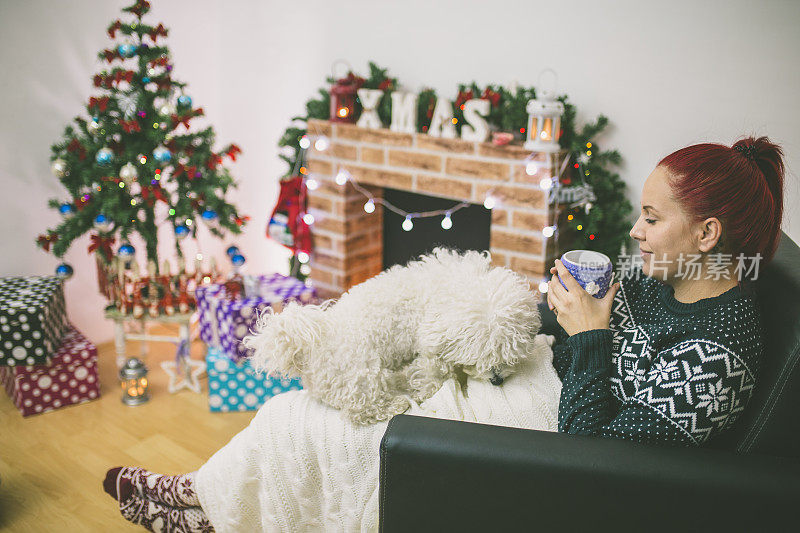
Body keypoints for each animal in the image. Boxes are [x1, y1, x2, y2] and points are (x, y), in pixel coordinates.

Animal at [244, 245, 544, 424]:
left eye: (510, 352)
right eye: (482, 357)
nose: (497, 380)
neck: (456, 288)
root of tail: (310, 347)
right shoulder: (430, 346)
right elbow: (434, 375)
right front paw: (426, 391)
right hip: (364, 374)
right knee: (361, 411)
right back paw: (396, 404)